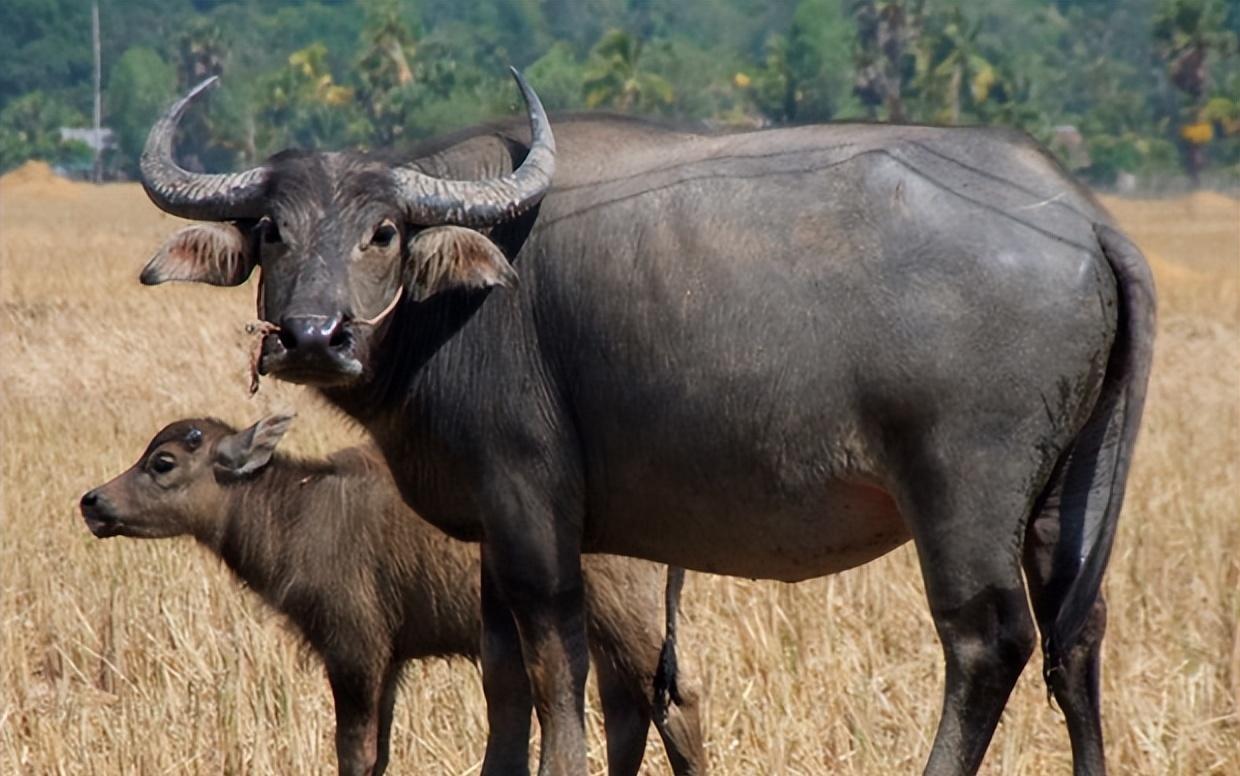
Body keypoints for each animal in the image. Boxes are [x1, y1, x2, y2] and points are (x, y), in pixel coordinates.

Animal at [140, 72, 1155, 773]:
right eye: (273, 230)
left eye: (382, 232)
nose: (315, 336)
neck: (463, 300)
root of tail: (1081, 215)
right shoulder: (491, 534)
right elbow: (503, 678)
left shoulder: (532, 511)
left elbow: (556, 670)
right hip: (1071, 492)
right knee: (1078, 637)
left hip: (962, 497)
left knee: (989, 641)